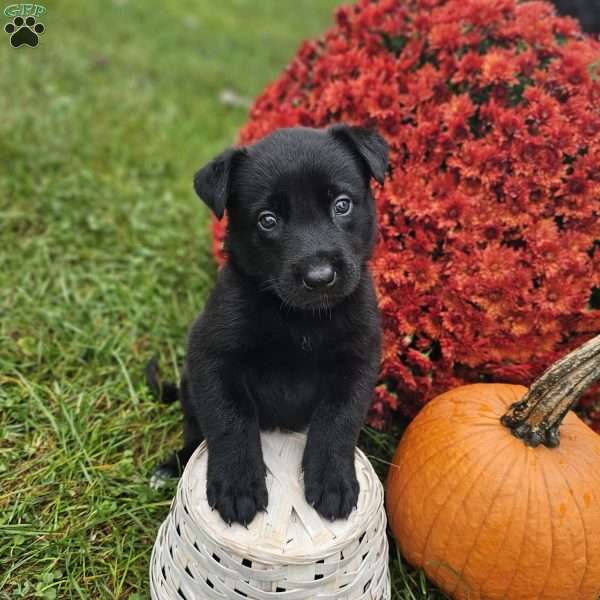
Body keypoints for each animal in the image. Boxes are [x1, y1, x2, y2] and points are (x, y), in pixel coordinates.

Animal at [151, 125, 390, 524]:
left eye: (342, 205)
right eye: (268, 219)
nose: (320, 277)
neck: (300, 318)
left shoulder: (359, 359)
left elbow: (337, 419)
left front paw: (333, 482)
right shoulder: (211, 355)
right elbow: (231, 417)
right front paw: (238, 486)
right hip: (188, 386)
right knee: (195, 429)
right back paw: (173, 465)